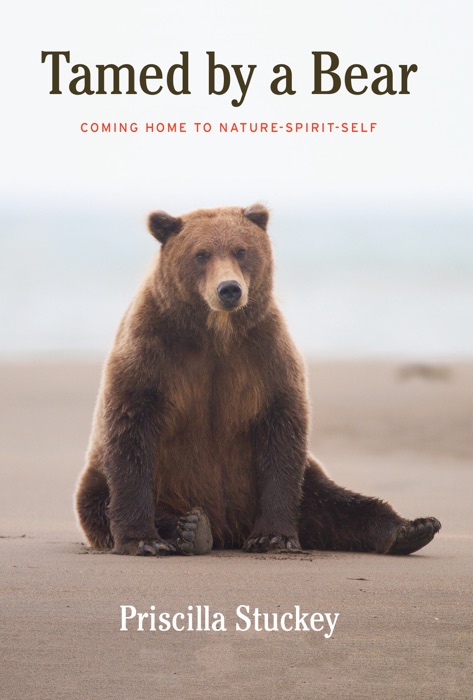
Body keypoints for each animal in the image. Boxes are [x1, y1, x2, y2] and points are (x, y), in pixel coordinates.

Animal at [75, 204, 441, 556]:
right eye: (201, 254)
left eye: (241, 250)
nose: (229, 289)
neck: (215, 334)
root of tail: (230, 530)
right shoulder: (153, 352)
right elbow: (132, 430)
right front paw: (143, 540)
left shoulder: (264, 356)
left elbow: (281, 432)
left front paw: (274, 537)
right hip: (109, 482)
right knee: (98, 503)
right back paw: (191, 529)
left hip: (302, 485)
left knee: (336, 502)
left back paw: (412, 528)